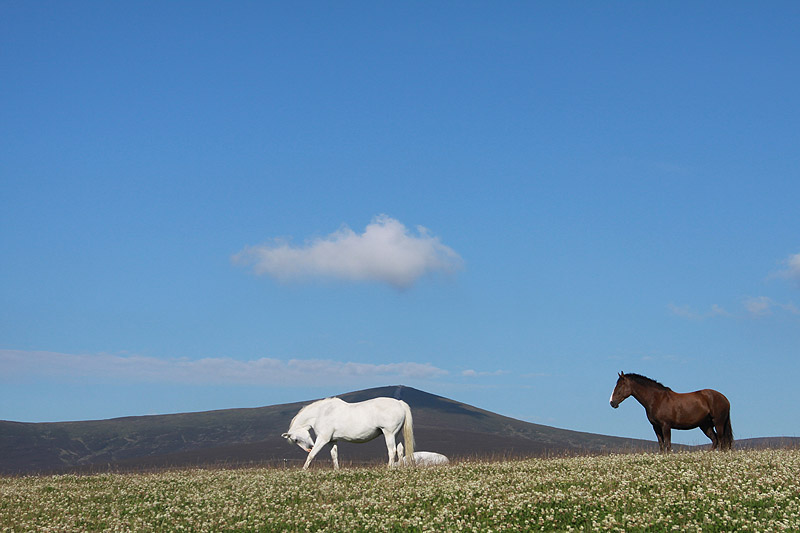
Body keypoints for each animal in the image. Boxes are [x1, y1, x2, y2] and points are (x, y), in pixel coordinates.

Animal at [282, 394, 416, 470]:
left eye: (295, 439)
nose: (309, 447)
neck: (321, 413)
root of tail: (399, 403)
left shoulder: (323, 439)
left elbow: (312, 455)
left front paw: (303, 470)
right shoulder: (332, 440)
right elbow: (334, 455)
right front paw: (336, 470)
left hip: (389, 434)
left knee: (392, 451)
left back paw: (389, 468)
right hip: (395, 435)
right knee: (399, 450)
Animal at [608, 372, 736, 450]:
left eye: (620, 386)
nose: (612, 403)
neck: (657, 399)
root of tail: (725, 399)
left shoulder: (666, 426)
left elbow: (668, 444)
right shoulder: (656, 426)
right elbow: (661, 444)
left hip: (718, 423)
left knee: (721, 441)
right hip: (705, 425)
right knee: (715, 440)